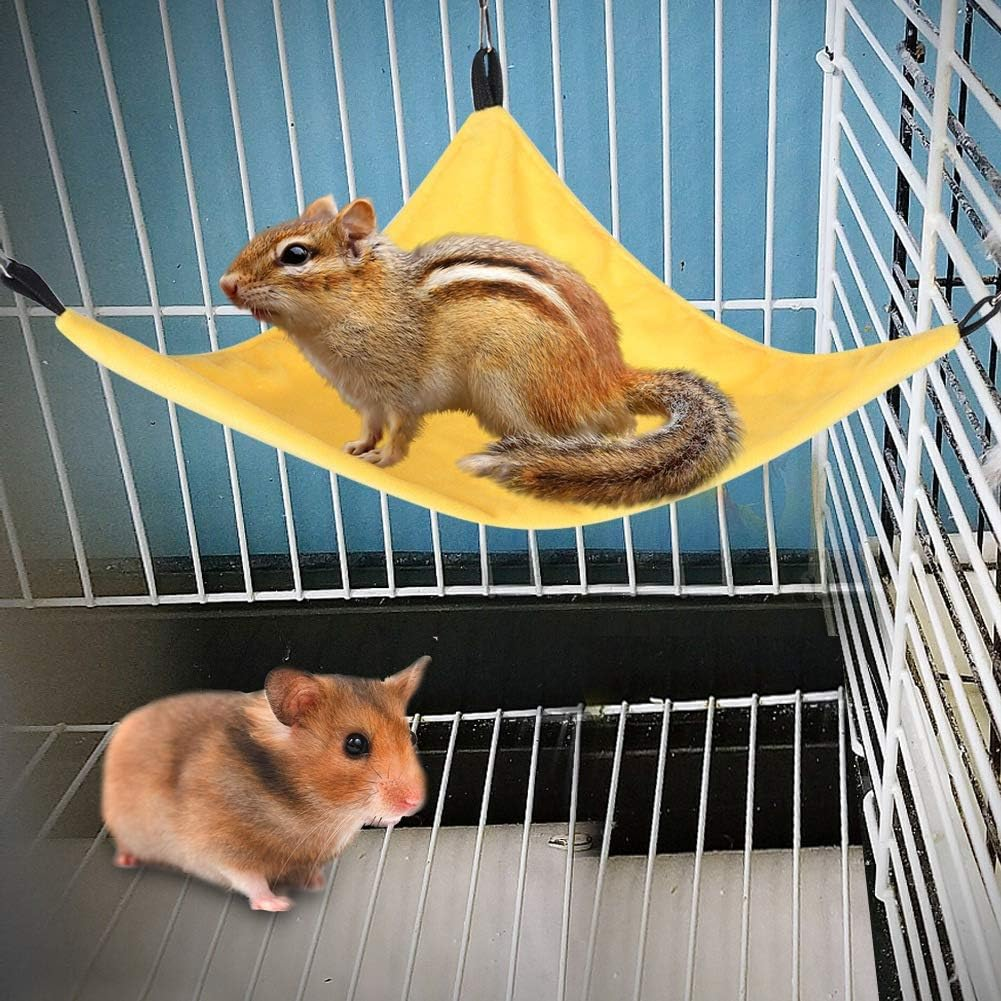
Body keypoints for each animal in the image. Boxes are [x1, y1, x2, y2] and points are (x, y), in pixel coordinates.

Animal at [100, 656, 429, 911]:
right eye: (355, 744)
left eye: (411, 736)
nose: (414, 802)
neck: (319, 811)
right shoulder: (219, 846)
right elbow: (249, 879)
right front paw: (279, 904)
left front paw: (315, 884)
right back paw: (126, 860)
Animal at [219, 196, 741, 508]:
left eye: (296, 254)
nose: (226, 283)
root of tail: (610, 379)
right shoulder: (366, 398)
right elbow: (369, 425)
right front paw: (358, 447)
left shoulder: (403, 390)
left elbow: (401, 430)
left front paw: (385, 460)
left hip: (509, 386)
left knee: (588, 433)